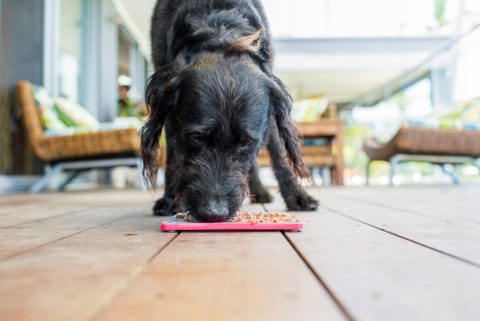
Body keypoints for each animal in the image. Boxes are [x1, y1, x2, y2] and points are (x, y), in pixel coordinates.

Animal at [141, 0, 316, 221]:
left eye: (246, 142)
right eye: (197, 137)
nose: (214, 213)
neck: (221, 31)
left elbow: (278, 152)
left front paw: (296, 194)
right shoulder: (173, 118)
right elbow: (175, 156)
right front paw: (171, 199)